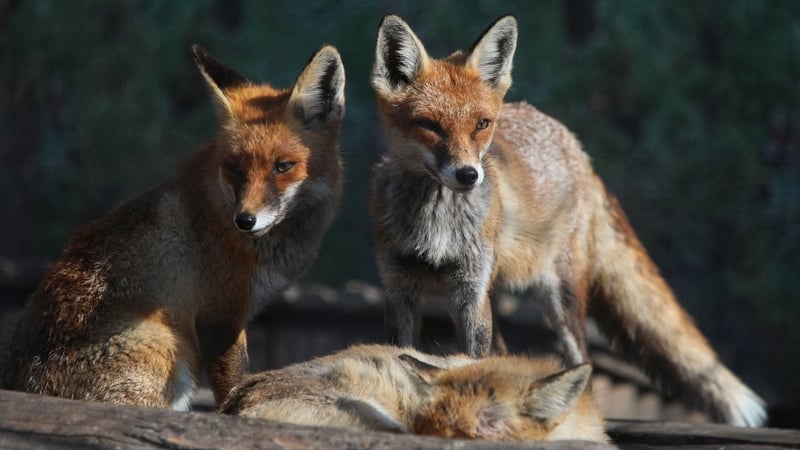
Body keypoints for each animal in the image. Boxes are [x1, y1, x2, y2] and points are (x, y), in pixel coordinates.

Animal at [0, 44, 345, 409]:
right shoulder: (218, 316)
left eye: (283, 167)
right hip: (171, 349)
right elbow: (234, 390)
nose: (244, 220)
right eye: (234, 168)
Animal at [369, 14, 766, 427]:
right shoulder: (400, 289)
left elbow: (472, 363)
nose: (468, 175)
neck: (436, 230)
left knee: (582, 363)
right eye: (429, 125)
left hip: (560, 296)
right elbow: (397, 356)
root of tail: (575, 145)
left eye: (482, 124)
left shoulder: (471, 293)